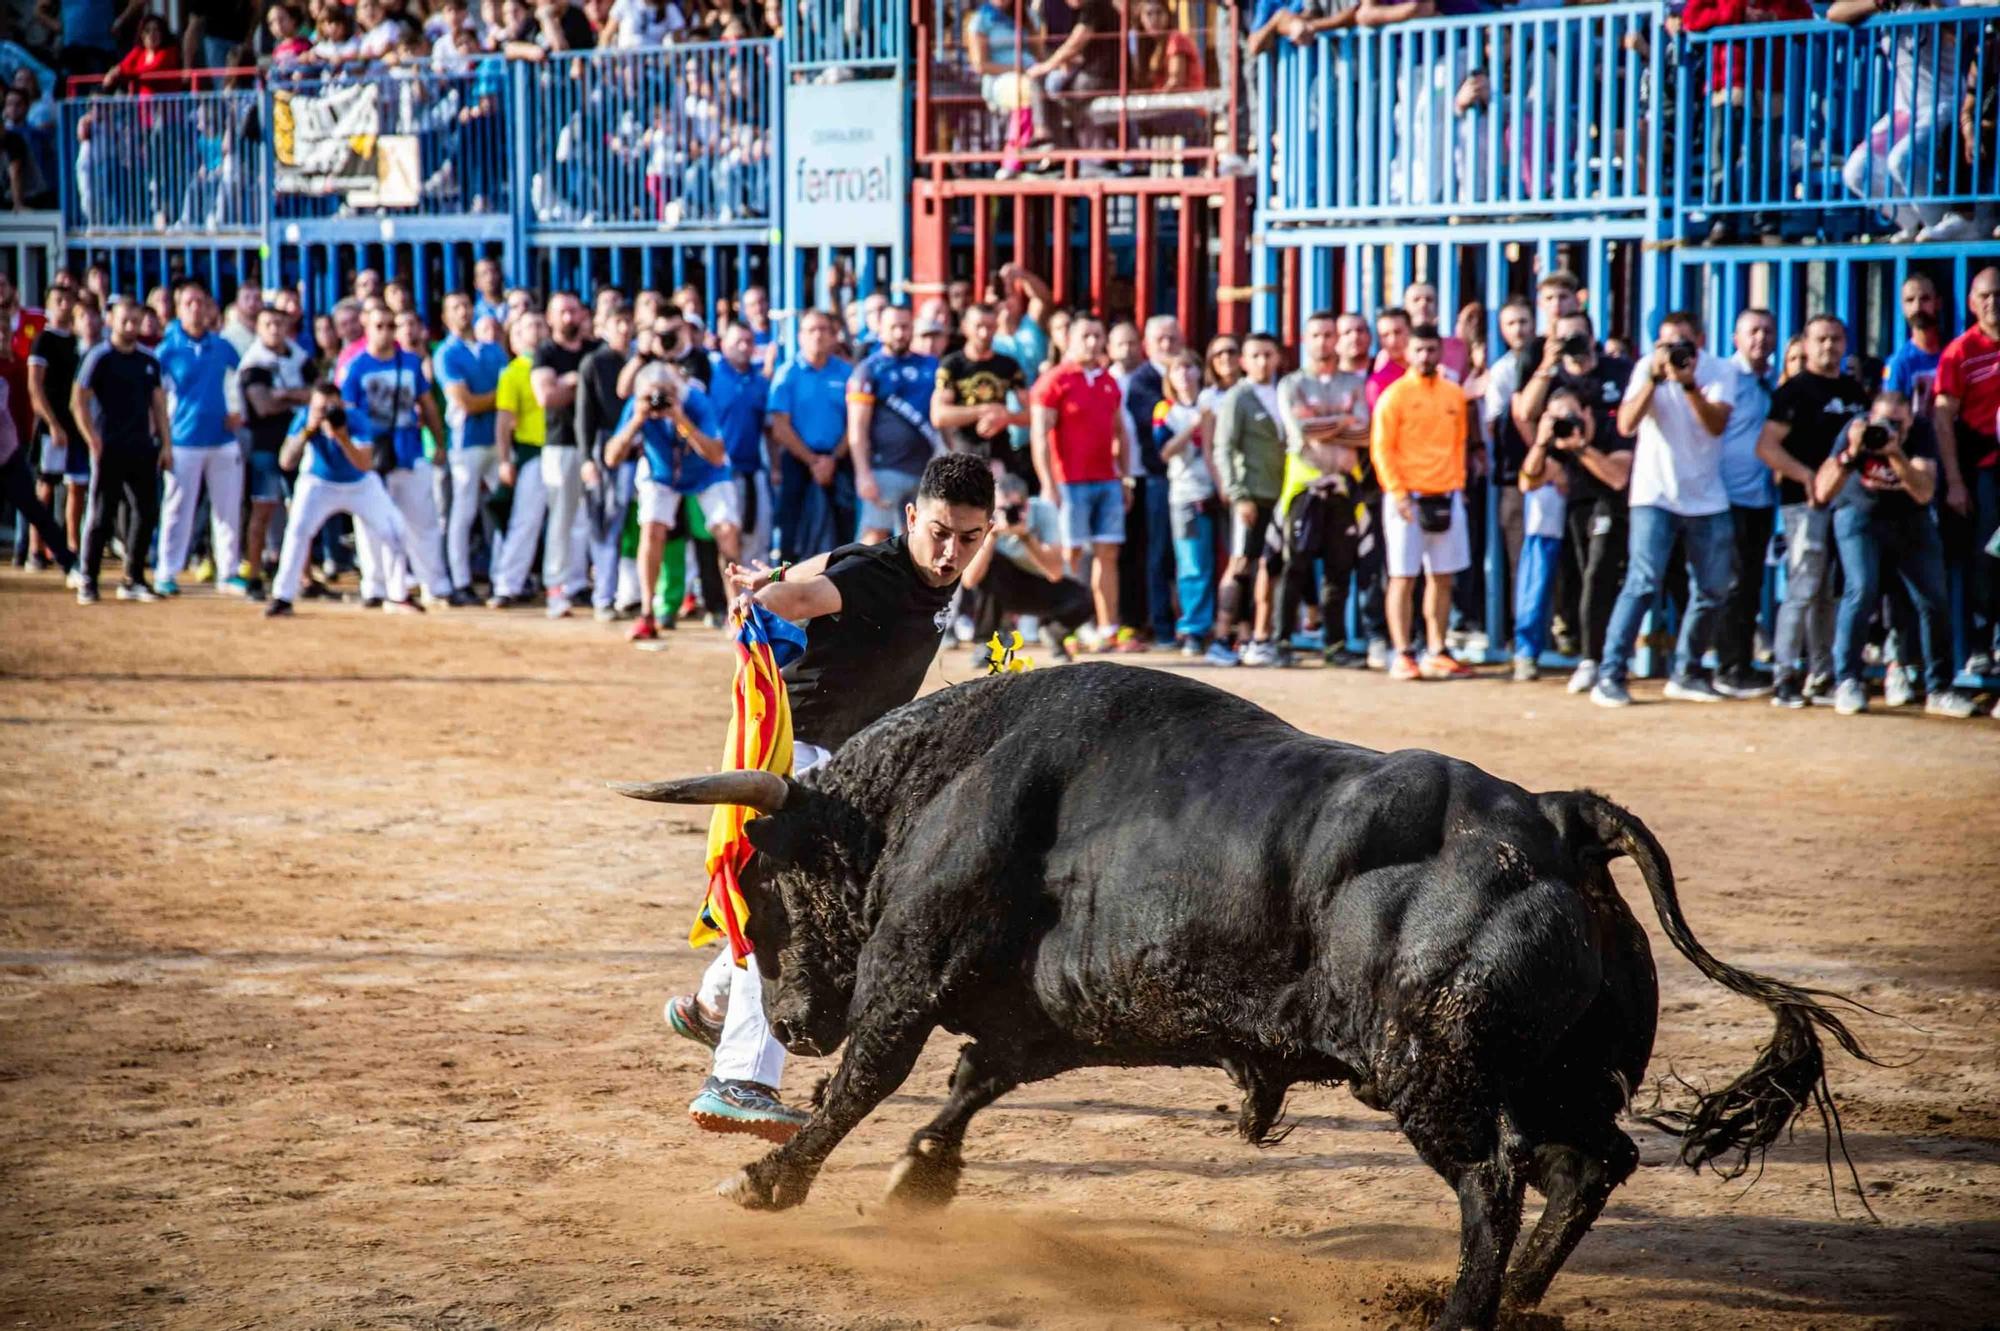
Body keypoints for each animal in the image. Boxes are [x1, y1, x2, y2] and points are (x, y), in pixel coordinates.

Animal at [620, 663, 1872, 1327]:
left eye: (765, 884)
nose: (788, 1023)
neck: (941, 779)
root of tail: (1563, 820)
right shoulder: (1042, 1013)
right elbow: (974, 1077)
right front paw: (919, 1177)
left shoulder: (909, 965)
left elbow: (871, 1076)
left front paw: (767, 1178)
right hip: (1550, 1075)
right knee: (1589, 1164)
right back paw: (1514, 1295)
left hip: (1432, 1076)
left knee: (1496, 1181)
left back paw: (1461, 1307)